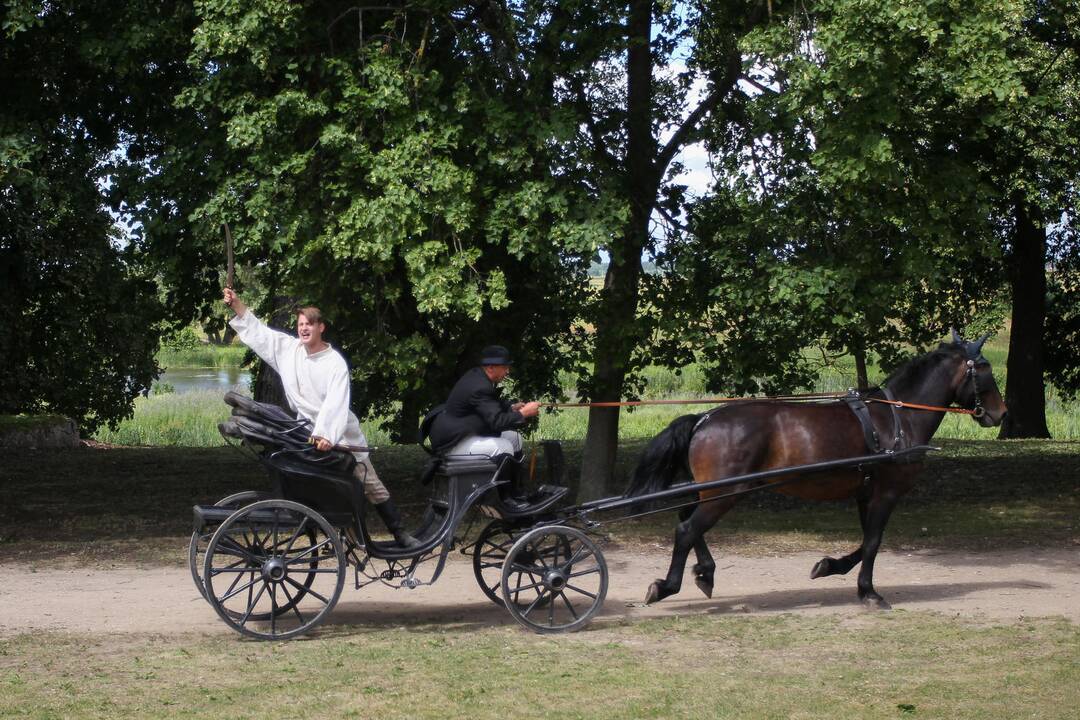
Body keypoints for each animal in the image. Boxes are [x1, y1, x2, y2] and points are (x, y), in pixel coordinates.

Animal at [630, 330, 1006, 608]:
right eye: (985, 369)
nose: (1000, 414)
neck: (897, 417)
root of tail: (704, 419)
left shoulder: (866, 492)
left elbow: (866, 541)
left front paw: (829, 567)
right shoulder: (886, 492)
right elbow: (873, 542)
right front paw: (869, 592)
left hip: (710, 490)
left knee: (688, 521)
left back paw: (705, 573)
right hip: (725, 492)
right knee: (687, 529)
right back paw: (667, 586)